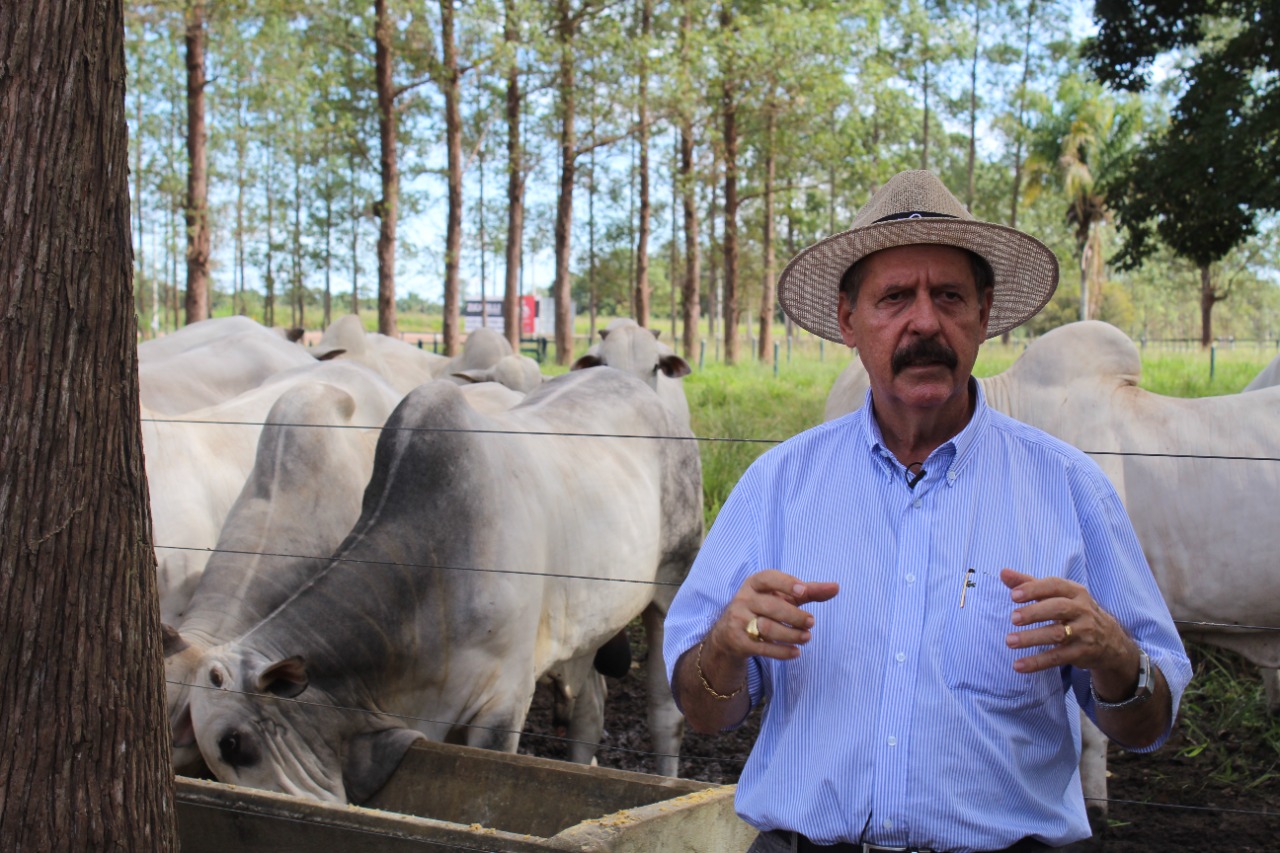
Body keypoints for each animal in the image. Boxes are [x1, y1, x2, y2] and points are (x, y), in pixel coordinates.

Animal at [186, 368, 701, 799]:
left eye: (235, 744)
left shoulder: (504, 700)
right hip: (586, 624)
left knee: (666, 710)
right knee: (589, 708)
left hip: (673, 580)